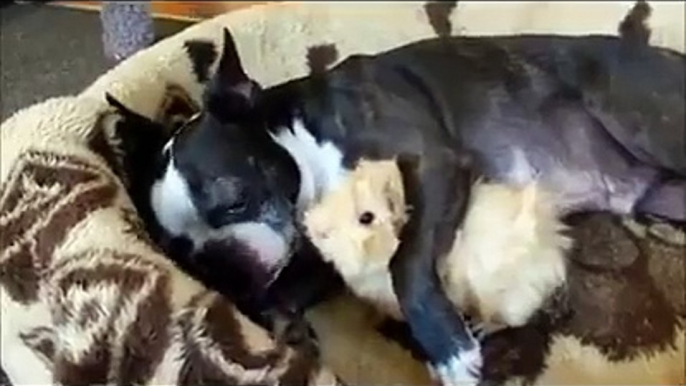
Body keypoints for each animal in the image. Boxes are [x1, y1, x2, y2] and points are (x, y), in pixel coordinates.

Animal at [148, 9, 684, 386]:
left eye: (234, 199)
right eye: (188, 252)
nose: (226, 262)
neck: (301, 135)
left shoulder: (435, 161)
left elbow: (404, 264)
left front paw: (449, 348)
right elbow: (287, 291)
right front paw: (284, 327)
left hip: (634, 115)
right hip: (658, 190)